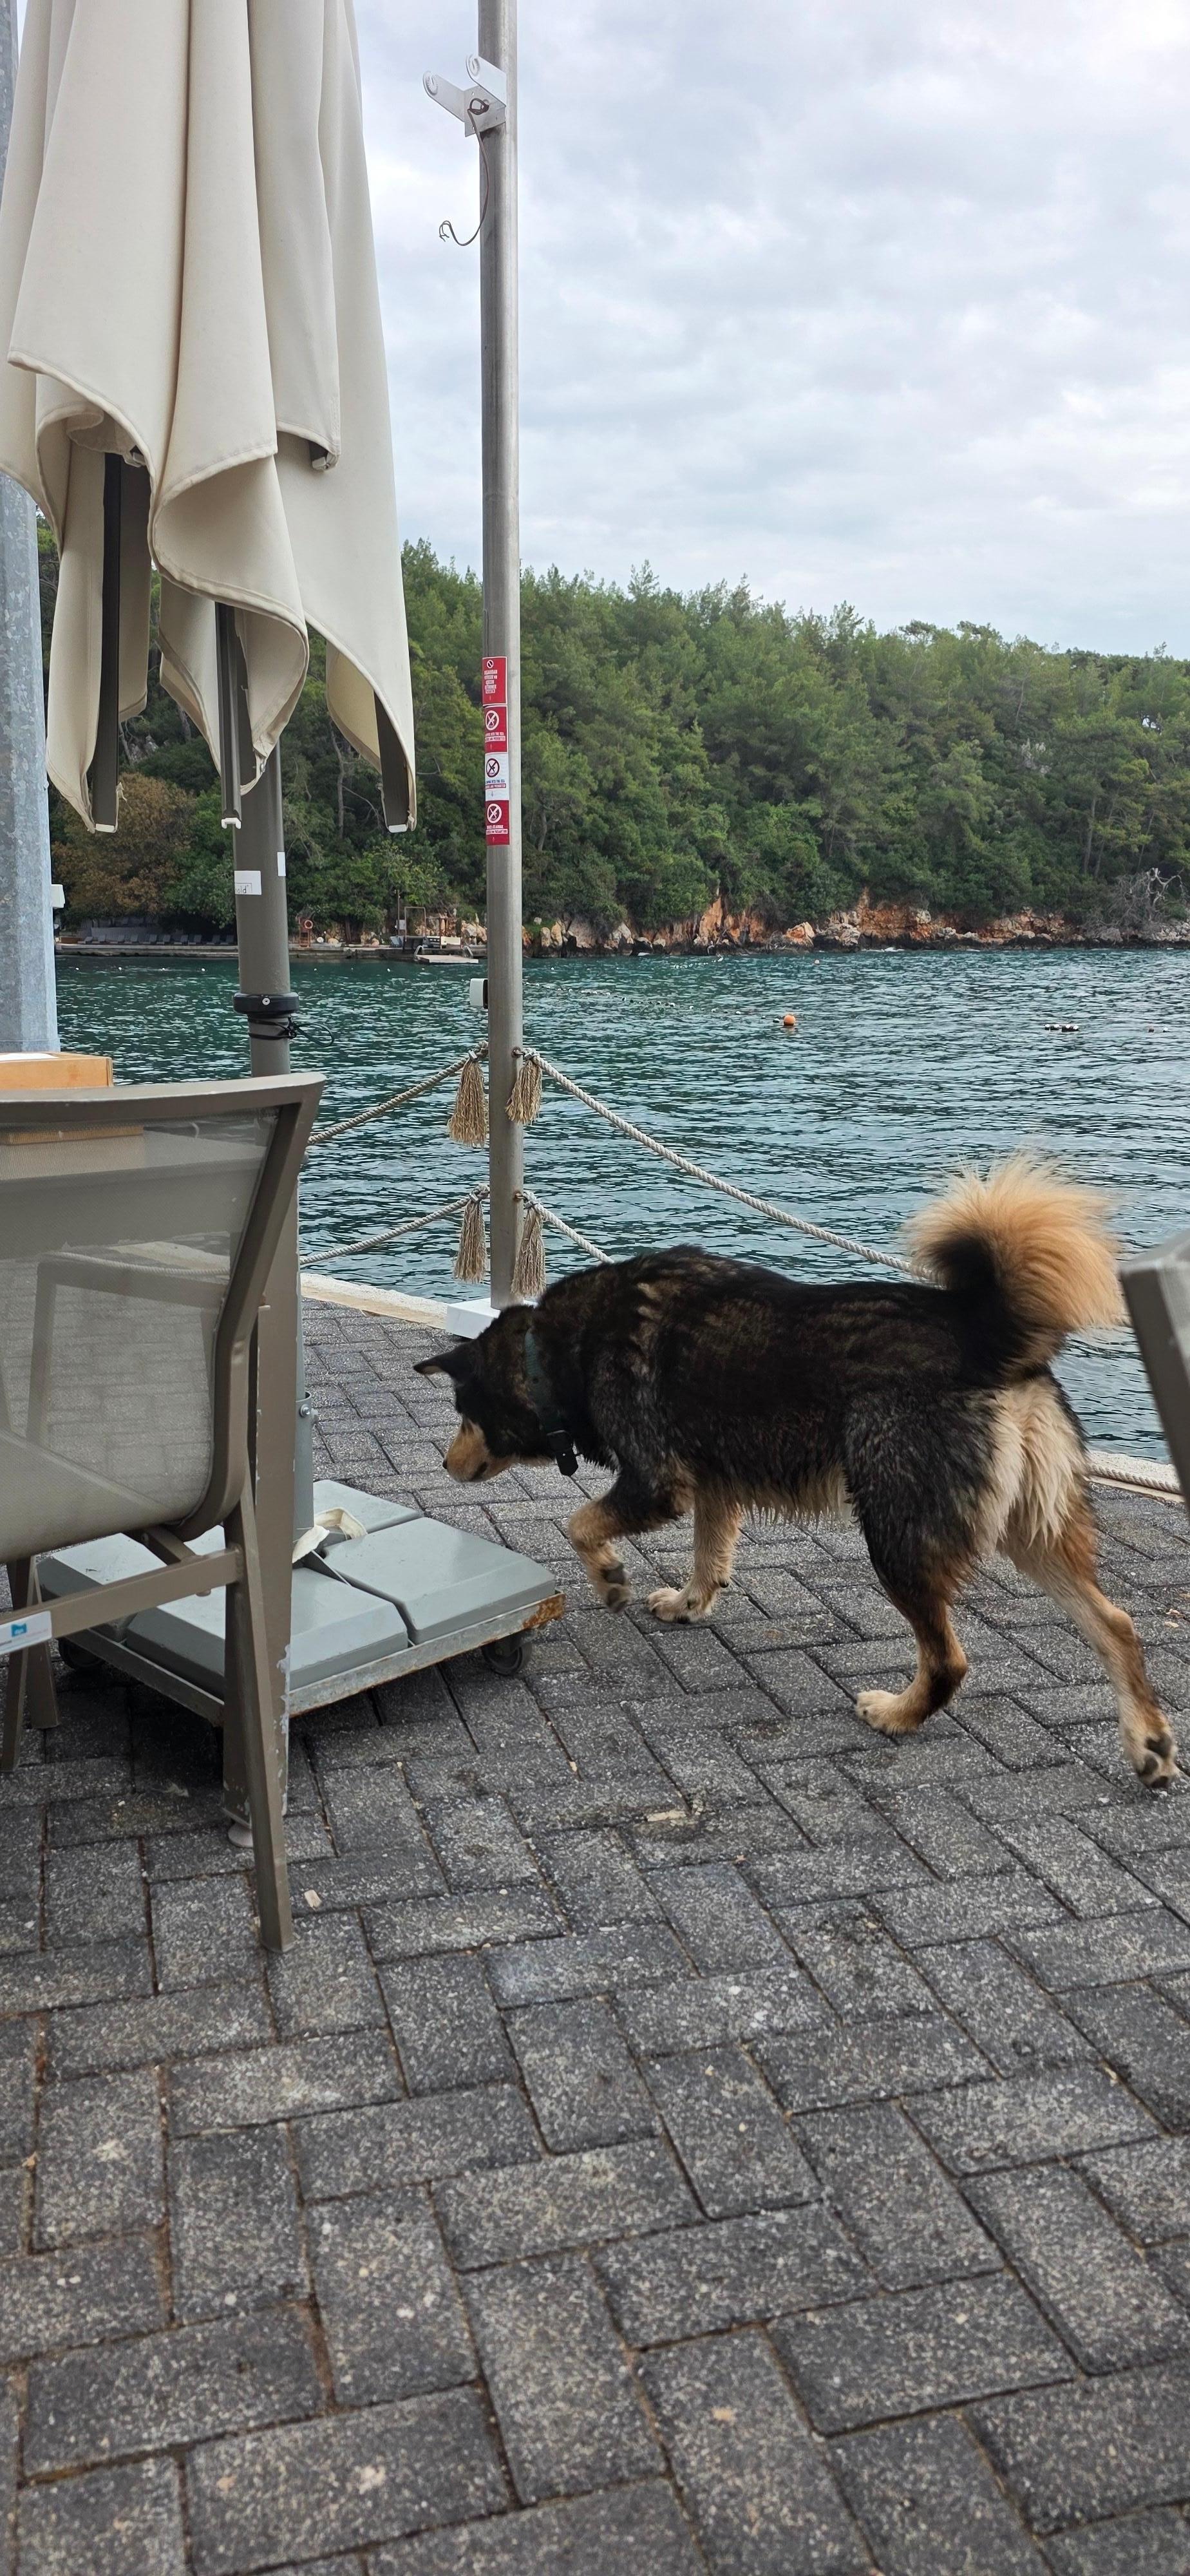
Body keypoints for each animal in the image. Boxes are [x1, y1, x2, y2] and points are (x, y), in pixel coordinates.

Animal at [417, 1156, 1178, 1787]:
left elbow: (579, 1524)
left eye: (462, 1412)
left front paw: (609, 1579)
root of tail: (983, 1335)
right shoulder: (713, 1485)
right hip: (1033, 1531)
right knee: (1117, 1626)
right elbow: (709, 1553)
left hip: (897, 1534)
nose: (445, 1462)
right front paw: (690, 1602)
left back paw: (898, 1713)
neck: (557, 1351)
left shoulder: (657, 1481)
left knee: (949, 1659)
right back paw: (1147, 1742)